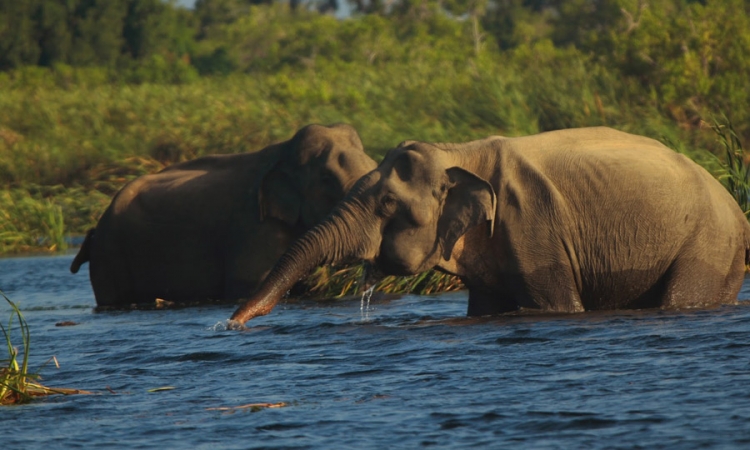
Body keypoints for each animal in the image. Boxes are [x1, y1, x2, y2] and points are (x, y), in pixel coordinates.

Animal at [229, 125, 750, 324]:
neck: (459, 152)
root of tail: (735, 206)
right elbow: (483, 307)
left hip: (709, 245)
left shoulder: (533, 224)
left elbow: (555, 305)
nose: (230, 324)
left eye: (387, 204)